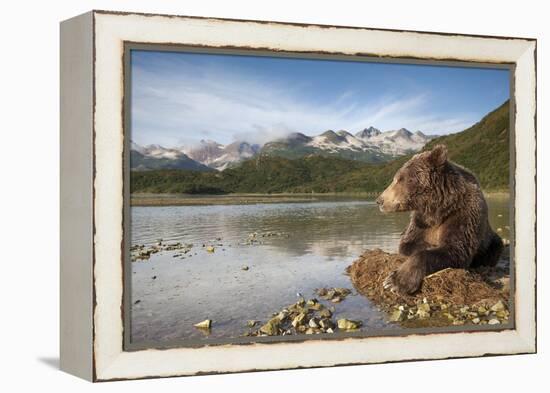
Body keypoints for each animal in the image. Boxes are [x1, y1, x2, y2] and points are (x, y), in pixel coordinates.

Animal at [380, 144, 504, 294]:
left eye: (400, 179)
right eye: (396, 178)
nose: (380, 200)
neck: (439, 208)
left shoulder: (463, 215)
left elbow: (455, 249)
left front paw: (395, 281)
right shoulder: (421, 221)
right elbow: (407, 243)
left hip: (490, 241)